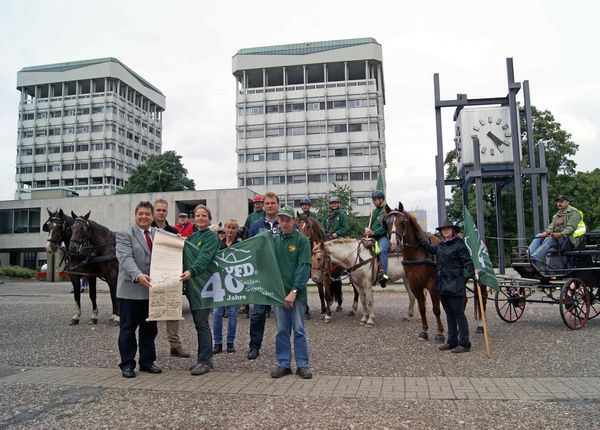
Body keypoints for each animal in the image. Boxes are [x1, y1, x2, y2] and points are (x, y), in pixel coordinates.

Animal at [384, 205, 446, 342]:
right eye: (387, 223)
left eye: (402, 222)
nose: (394, 243)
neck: (419, 251)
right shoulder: (414, 284)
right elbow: (422, 308)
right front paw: (424, 331)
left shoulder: (432, 285)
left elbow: (436, 309)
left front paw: (440, 333)